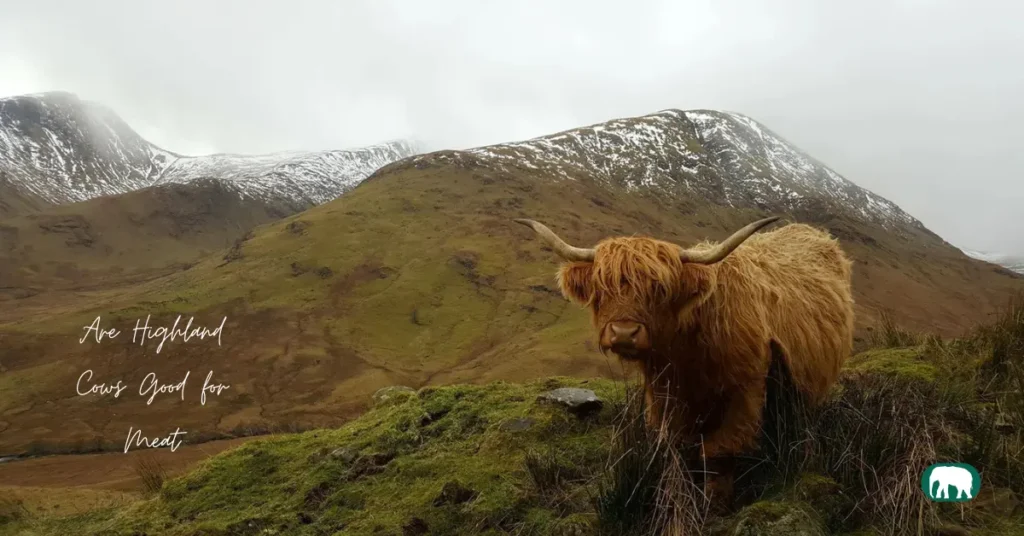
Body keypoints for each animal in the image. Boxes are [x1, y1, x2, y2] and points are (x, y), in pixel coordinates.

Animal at [514, 215, 855, 506]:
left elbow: (719, 450)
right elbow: (678, 448)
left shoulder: (745, 391)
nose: (624, 333)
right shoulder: (664, 395)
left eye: (660, 289)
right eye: (602, 288)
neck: (686, 355)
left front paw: (716, 502)